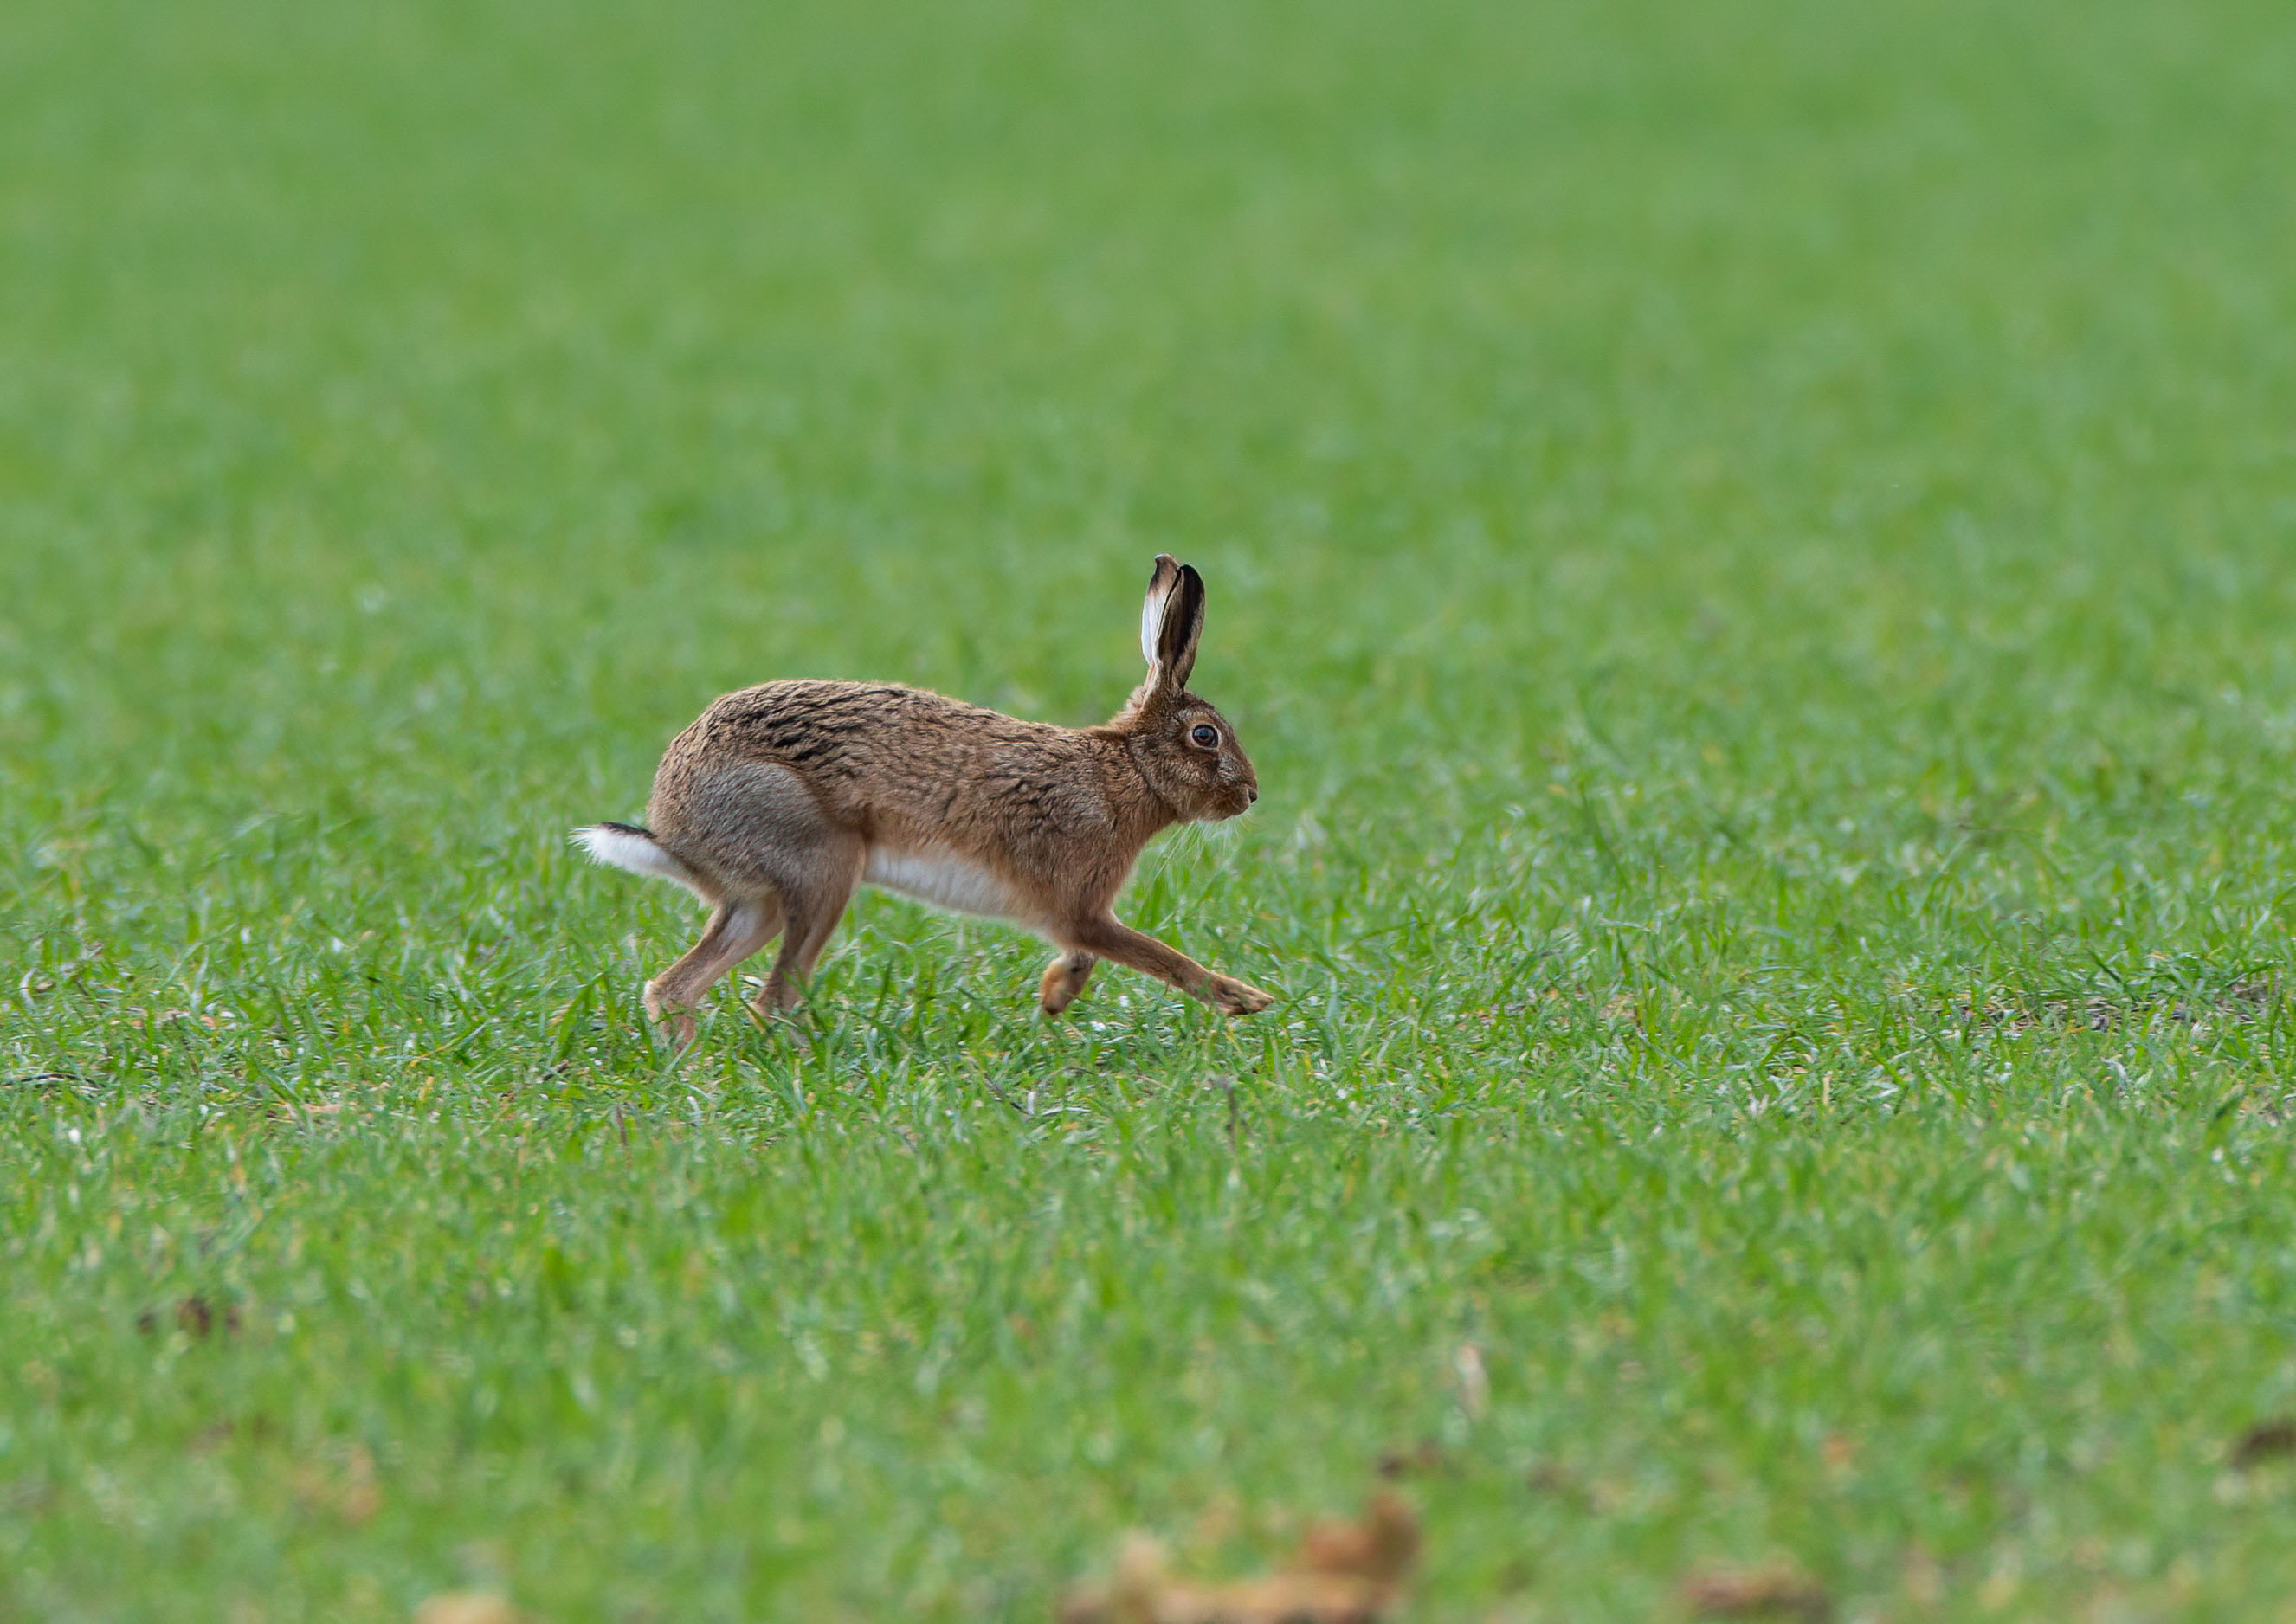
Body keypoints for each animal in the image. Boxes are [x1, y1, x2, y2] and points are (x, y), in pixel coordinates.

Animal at [573, 554, 1275, 1048]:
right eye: (1205, 736)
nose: (1250, 794)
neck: (1124, 771)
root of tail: (672, 822)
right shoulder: (1082, 906)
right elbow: (1159, 956)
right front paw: (1245, 1000)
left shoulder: (1071, 915)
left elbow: (1084, 955)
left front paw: (1054, 998)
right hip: (822, 868)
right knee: (773, 998)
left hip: (761, 902)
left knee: (675, 988)